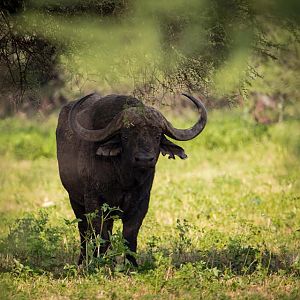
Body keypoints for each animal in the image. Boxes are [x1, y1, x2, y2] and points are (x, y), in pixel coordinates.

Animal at [55, 93, 206, 264]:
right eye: (126, 136)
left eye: (157, 136)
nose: (144, 159)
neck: (123, 179)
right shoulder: (93, 201)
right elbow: (101, 235)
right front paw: (99, 262)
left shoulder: (141, 202)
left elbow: (129, 236)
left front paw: (131, 265)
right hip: (74, 200)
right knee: (83, 231)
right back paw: (83, 260)